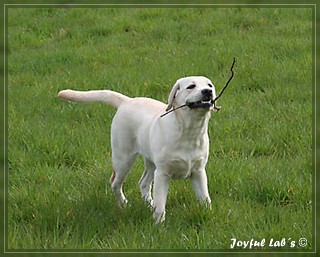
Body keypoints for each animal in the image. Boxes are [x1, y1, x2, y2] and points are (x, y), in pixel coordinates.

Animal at [57, 76, 219, 222]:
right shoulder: (162, 173)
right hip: (123, 159)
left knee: (143, 182)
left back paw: (149, 205)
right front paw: (158, 225)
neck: (189, 131)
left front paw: (209, 216)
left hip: (150, 162)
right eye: (191, 86)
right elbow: (161, 204)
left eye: (209, 85)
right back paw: (124, 204)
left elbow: (205, 199)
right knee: (115, 182)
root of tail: (127, 101)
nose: (207, 92)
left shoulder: (198, 171)